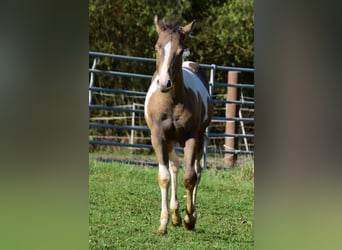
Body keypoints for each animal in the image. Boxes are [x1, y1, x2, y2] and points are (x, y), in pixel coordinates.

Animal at [143, 15, 212, 234]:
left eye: (179, 51)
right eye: (156, 48)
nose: (164, 83)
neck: (172, 101)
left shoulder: (192, 136)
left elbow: (190, 177)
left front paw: (190, 219)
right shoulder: (158, 137)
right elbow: (164, 176)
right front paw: (164, 223)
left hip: (200, 138)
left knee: (197, 170)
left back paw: (188, 216)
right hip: (172, 141)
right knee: (174, 167)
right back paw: (174, 215)